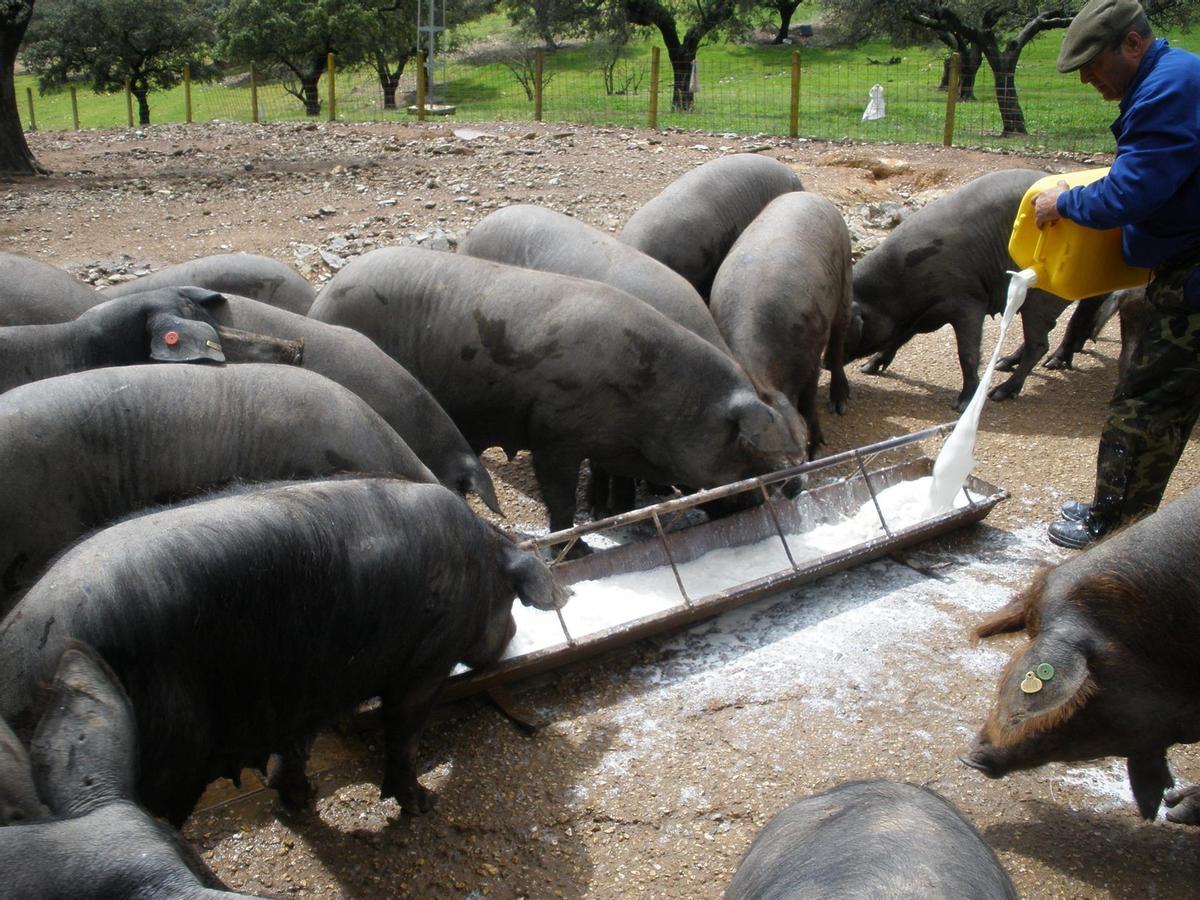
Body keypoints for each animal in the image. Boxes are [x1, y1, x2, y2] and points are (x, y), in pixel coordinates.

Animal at [0, 482, 568, 830]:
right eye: (510, 599)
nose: (510, 638)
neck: (480, 562)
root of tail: (20, 658)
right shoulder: (426, 664)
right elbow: (404, 733)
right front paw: (422, 805)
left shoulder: (304, 686)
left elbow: (293, 748)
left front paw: (302, 800)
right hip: (161, 760)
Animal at [307, 244, 806, 535]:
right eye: (747, 446)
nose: (793, 487)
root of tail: (321, 300)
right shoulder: (554, 433)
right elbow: (560, 498)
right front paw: (579, 544)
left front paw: (609, 515)